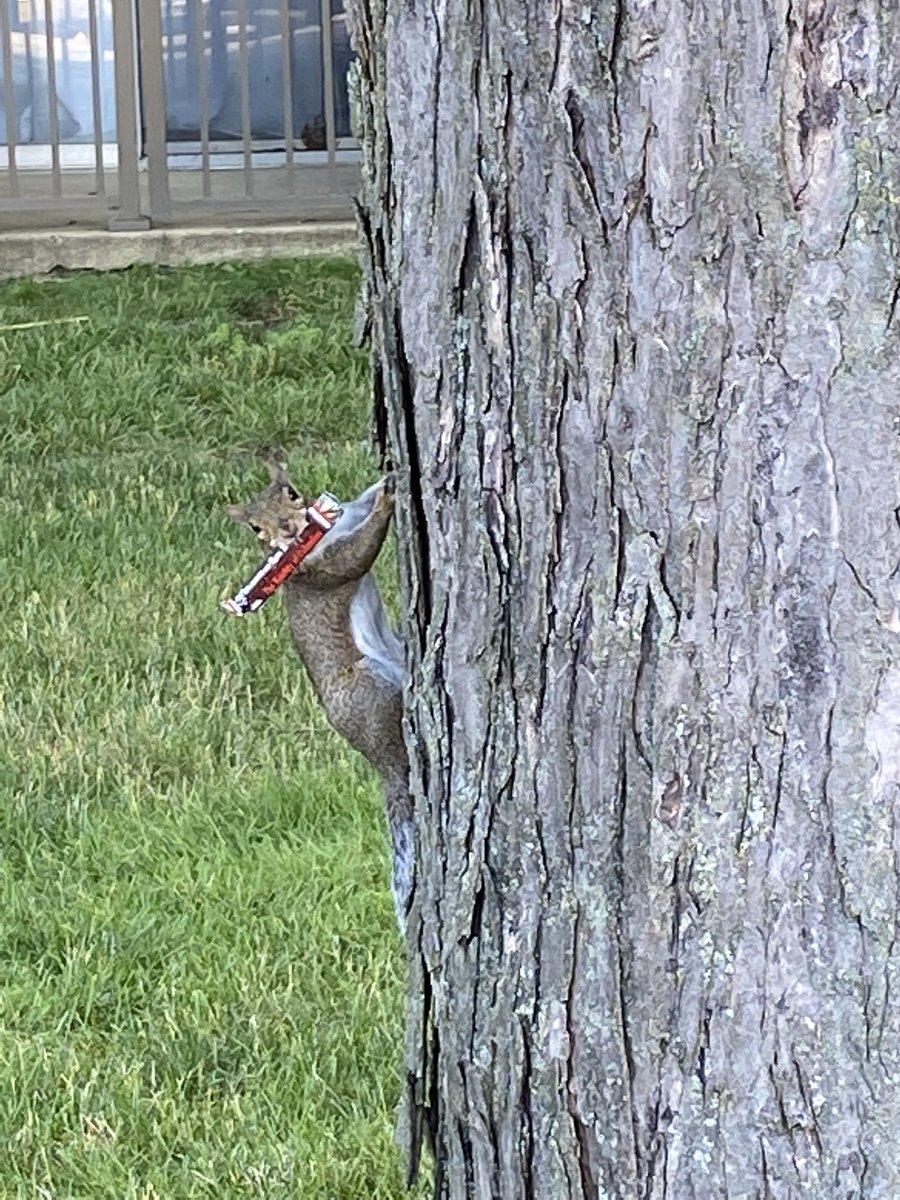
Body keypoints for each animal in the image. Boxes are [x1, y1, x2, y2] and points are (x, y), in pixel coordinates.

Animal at [226, 460, 415, 926]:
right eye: (255, 527)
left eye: (291, 493)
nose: (287, 529)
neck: (318, 537)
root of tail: (378, 763)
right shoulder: (318, 570)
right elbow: (355, 556)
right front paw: (387, 503)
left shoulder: (342, 517)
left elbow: (355, 504)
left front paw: (384, 478)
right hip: (369, 690)